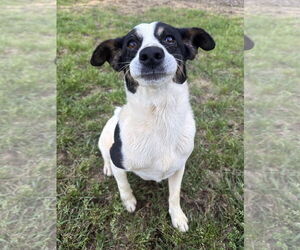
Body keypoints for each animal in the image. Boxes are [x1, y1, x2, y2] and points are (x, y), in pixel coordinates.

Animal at [90, 22, 214, 232]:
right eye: (131, 44)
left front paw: (177, 216)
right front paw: (129, 202)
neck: (159, 115)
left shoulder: (179, 167)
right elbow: (123, 185)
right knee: (105, 154)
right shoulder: (118, 159)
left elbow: (174, 195)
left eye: (169, 39)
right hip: (105, 138)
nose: (150, 54)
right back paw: (107, 168)